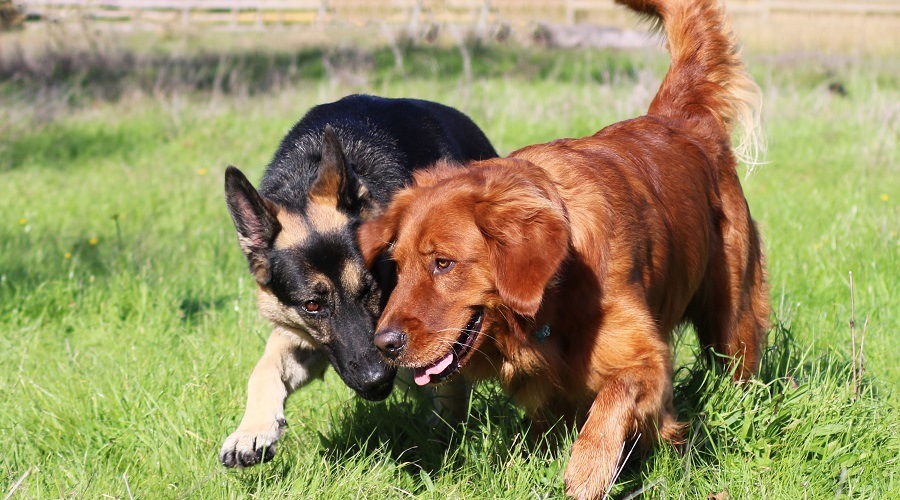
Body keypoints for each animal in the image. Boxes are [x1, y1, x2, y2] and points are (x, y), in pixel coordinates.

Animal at [221, 94, 496, 468]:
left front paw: (444, 447)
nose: (376, 381)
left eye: (370, 288)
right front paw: (252, 431)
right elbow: (265, 367)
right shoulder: (304, 337)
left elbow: (448, 396)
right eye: (312, 305)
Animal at [358, 0, 768, 496]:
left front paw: (588, 472)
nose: (384, 344)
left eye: (443, 263)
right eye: (397, 267)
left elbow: (610, 405)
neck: (555, 291)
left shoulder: (643, 357)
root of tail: (678, 117)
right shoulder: (545, 389)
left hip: (731, 318)